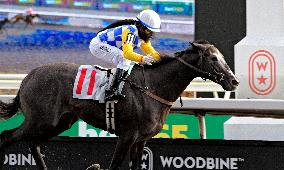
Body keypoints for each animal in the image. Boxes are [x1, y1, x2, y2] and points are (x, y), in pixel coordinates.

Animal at [0, 40, 239, 170]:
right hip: (41, 120)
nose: (234, 81)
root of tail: (27, 79)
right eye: (213, 58)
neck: (153, 87)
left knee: (34, 144)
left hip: (59, 123)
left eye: (221, 56)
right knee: (8, 137)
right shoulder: (127, 135)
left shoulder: (141, 140)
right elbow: (114, 165)